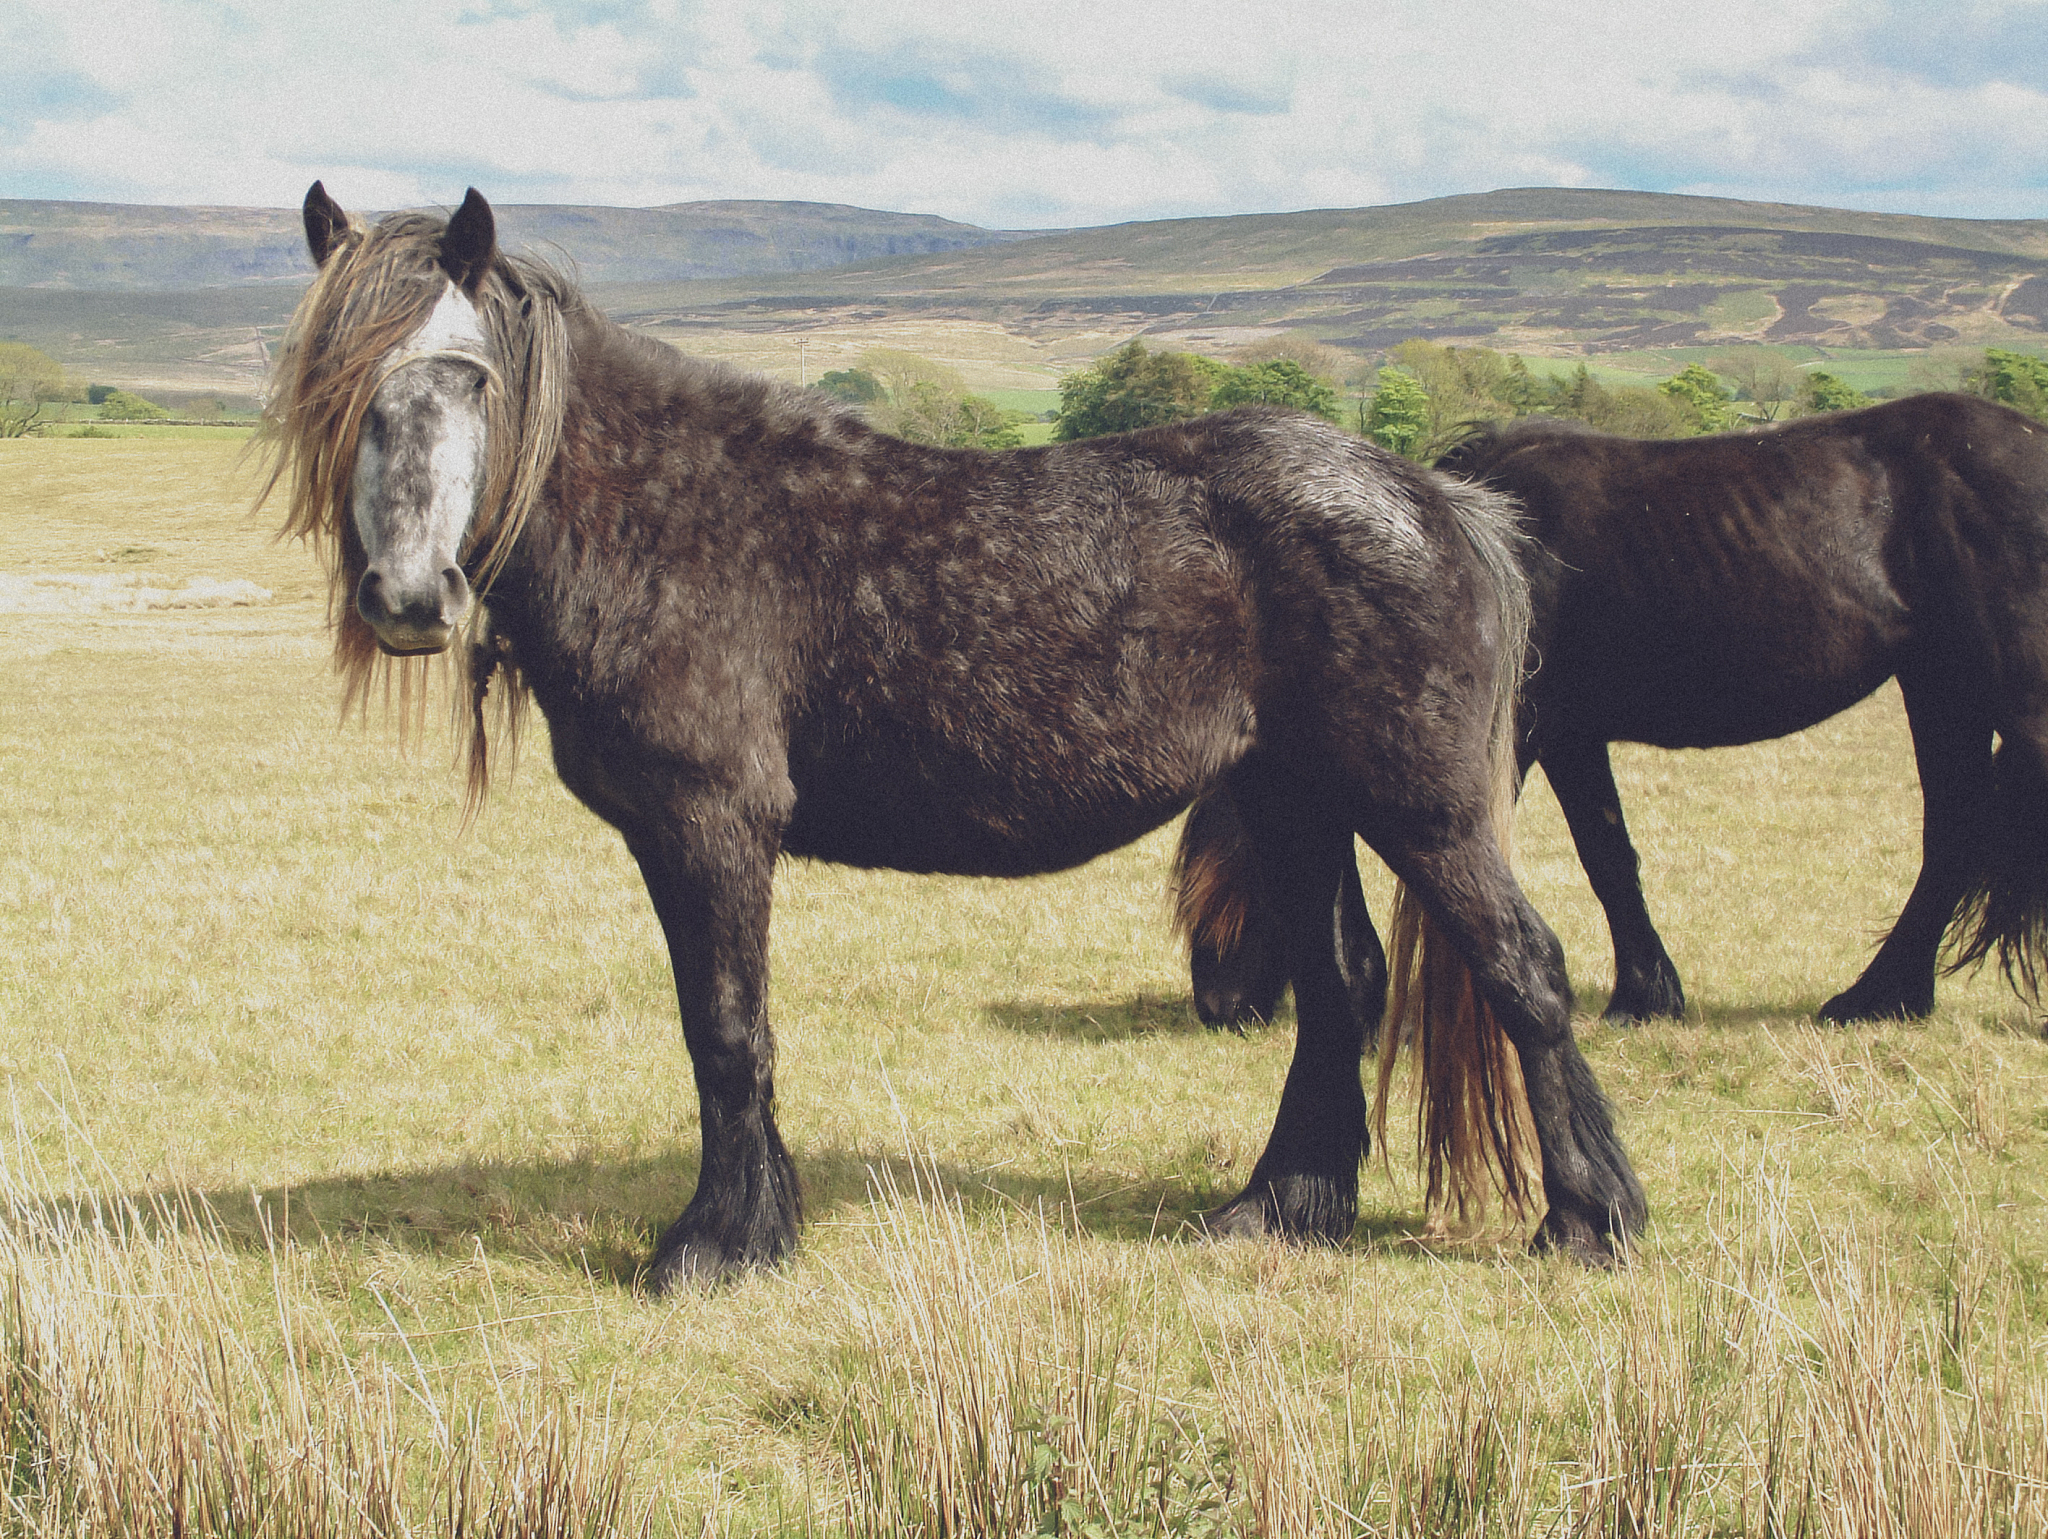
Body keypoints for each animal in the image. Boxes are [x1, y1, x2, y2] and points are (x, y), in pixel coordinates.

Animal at [260, 183, 1645, 1289]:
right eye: (329, 389)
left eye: (468, 375)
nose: (407, 597)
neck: (669, 519)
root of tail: (1438, 499)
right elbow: (727, 1031)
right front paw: (752, 1224)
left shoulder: (709, 825)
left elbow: (725, 1030)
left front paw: (717, 1244)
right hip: (1292, 801)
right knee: (1340, 987)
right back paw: (1276, 1210)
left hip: (1420, 810)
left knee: (1523, 971)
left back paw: (1585, 1222)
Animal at [1181, 396, 2048, 1029]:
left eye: (1227, 883)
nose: (1218, 1007)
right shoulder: (1569, 734)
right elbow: (1610, 855)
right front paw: (1649, 992)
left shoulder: (1525, 734)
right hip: (1942, 685)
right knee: (1951, 837)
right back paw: (1886, 997)